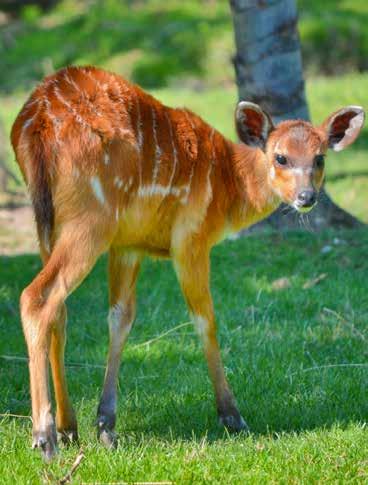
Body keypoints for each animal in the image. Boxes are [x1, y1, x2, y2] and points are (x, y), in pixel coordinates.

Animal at [11, 66, 366, 460]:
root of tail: (37, 123)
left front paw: (106, 426)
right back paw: (44, 437)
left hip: (48, 221)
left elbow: (121, 318)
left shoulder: (129, 244)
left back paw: (67, 427)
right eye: (280, 157)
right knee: (37, 297)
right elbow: (205, 319)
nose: (307, 197)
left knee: (59, 309)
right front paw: (232, 416)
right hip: (91, 219)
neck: (229, 184)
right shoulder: (191, 239)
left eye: (320, 158)